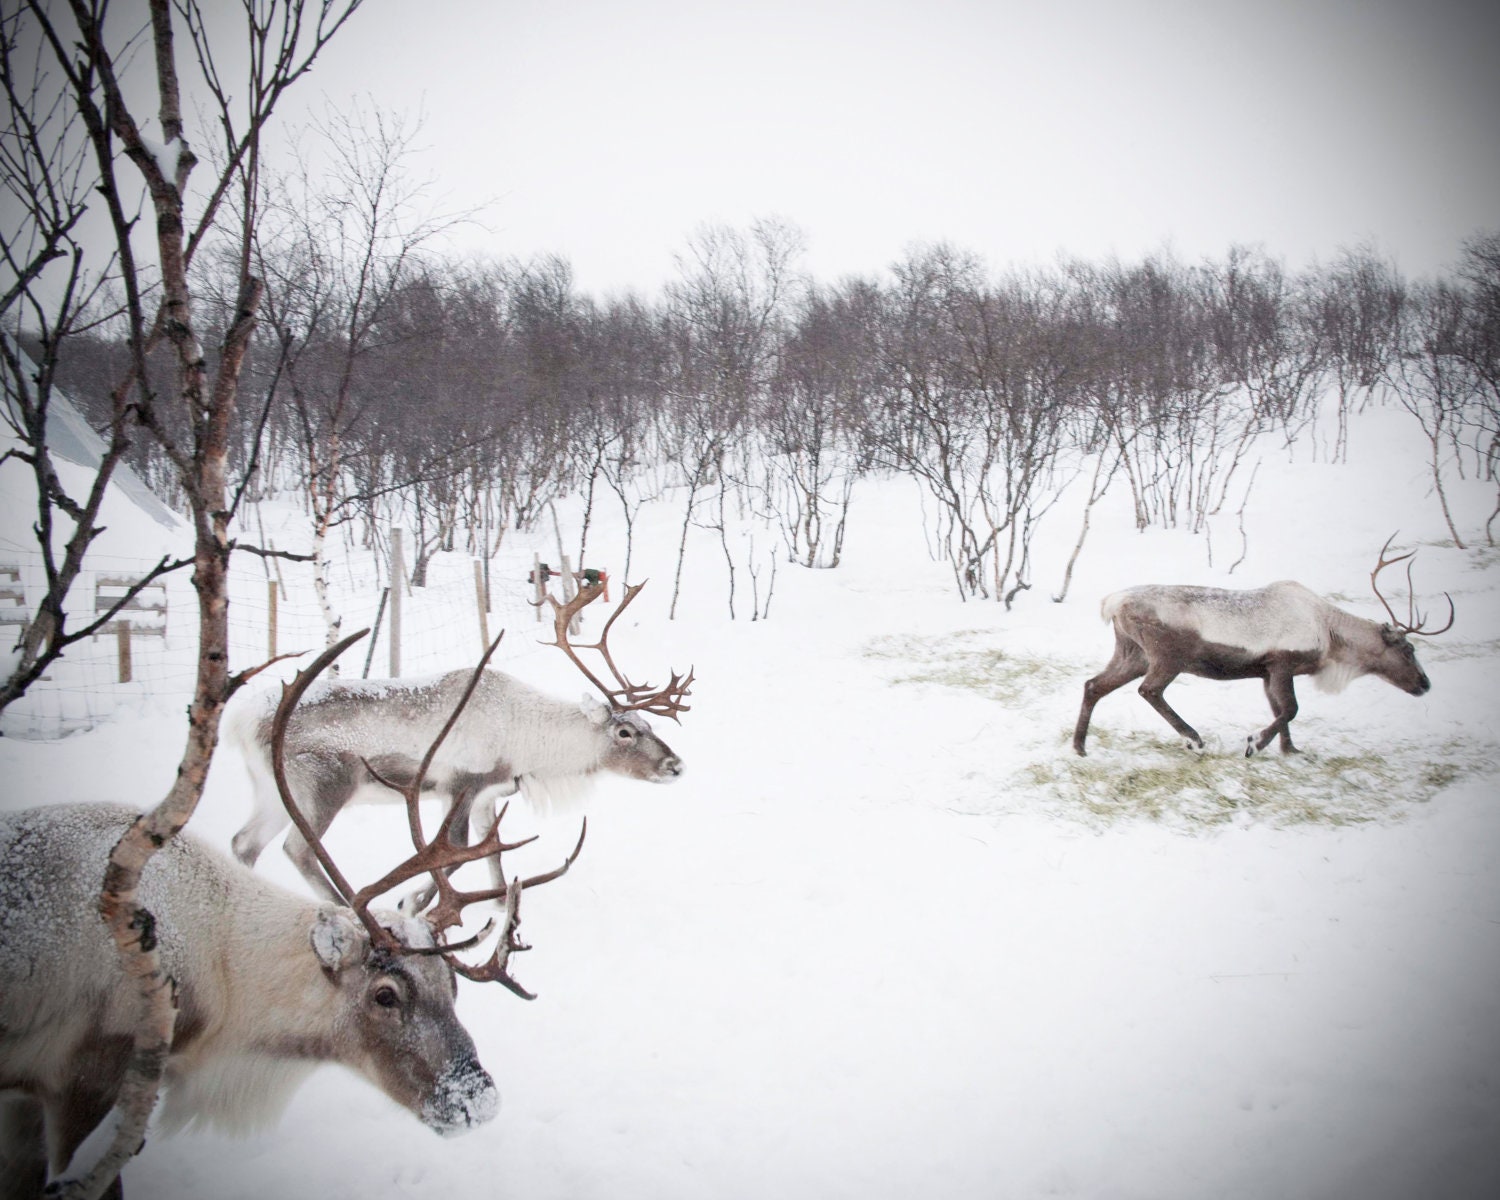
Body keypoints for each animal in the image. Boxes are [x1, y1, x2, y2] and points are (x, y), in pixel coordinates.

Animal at [227, 581, 690, 905]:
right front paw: (413, 902)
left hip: (273, 790)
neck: (529, 744)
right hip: (324, 785)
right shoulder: (460, 785)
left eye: (649, 723)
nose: (676, 766)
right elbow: (457, 852)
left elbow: (492, 856)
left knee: (244, 843)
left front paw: (501, 909)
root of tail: (241, 720)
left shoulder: (488, 795)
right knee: (298, 850)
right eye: (624, 732)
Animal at [1072, 536, 1454, 757]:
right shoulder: (1283, 663)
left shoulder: (1266, 672)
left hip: (1132, 652)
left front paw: (1291, 750)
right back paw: (1193, 739)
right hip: (1167, 656)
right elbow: (1291, 709)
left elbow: (1279, 710)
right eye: (1408, 649)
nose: (1425, 684)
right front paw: (1255, 743)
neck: (1329, 635)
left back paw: (1079, 747)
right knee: (1149, 690)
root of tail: (1111, 603)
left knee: (1093, 685)